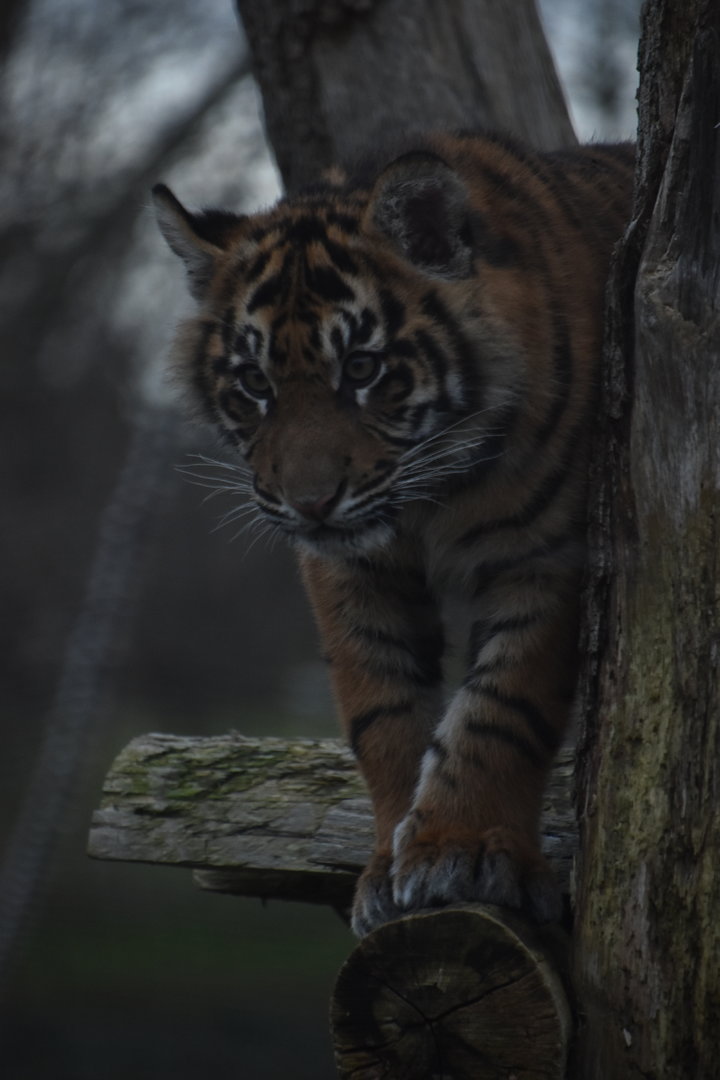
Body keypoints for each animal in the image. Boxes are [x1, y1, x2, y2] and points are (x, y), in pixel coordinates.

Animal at [153, 132, 635, 937]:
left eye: (362, 368)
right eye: (254, 384)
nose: (311, 504)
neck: (430, 501)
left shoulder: (546, 557)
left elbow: (500, 709)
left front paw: (462, 852)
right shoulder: (352, 573)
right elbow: (382, 711)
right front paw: (390, 863)